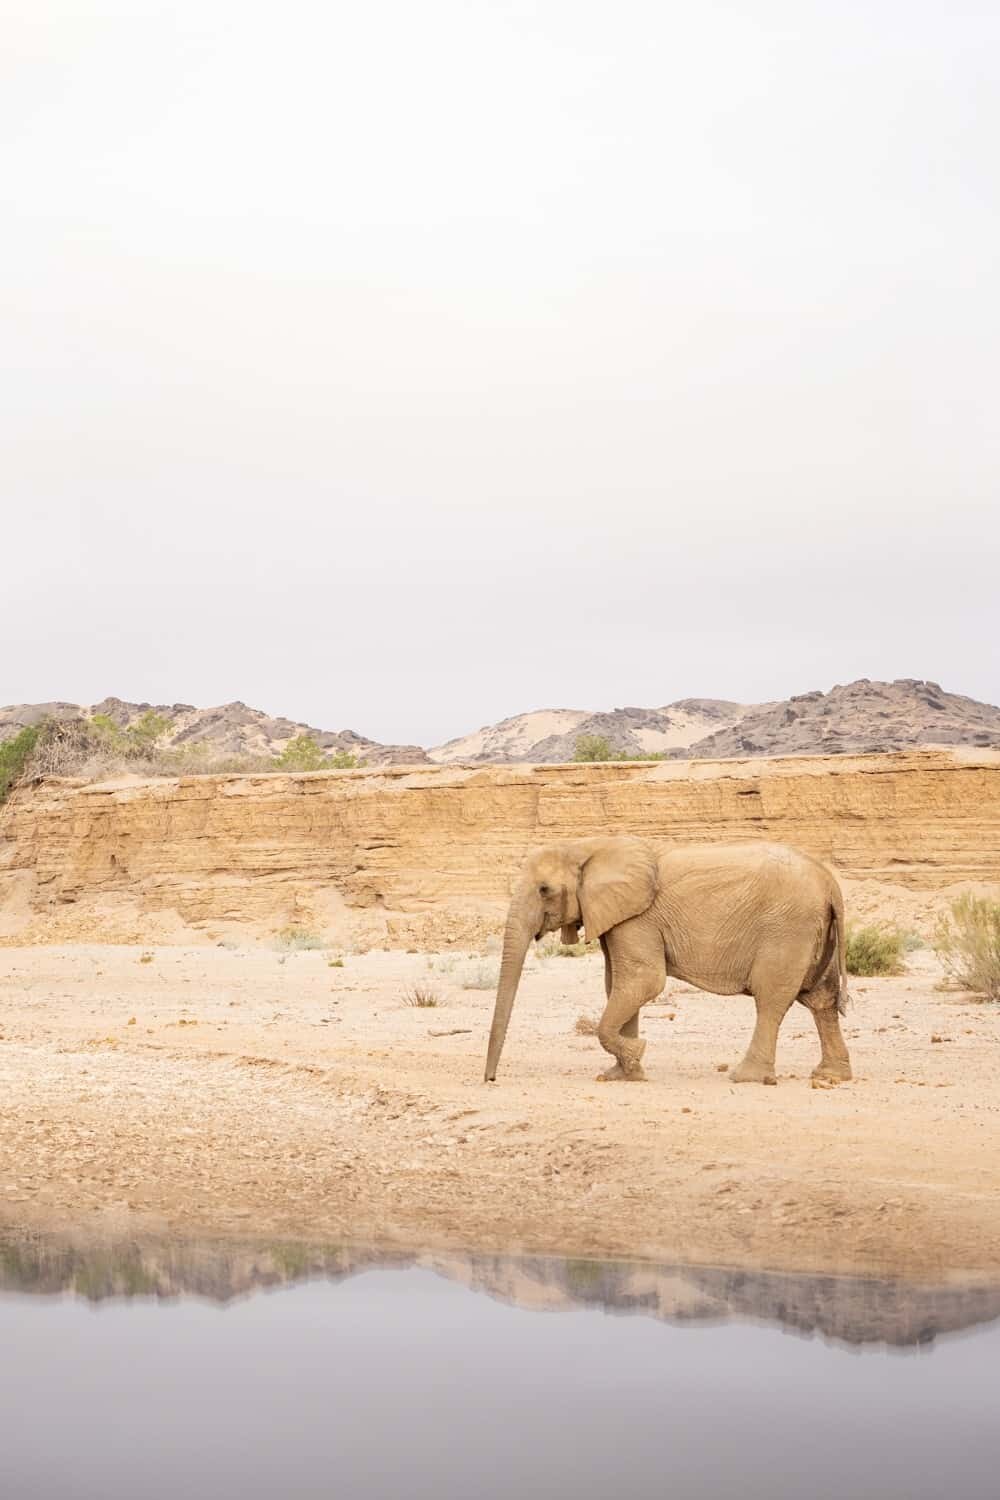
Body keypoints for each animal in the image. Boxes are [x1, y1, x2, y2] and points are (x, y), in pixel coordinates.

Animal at [485, 834, 851, 1092]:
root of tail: (830, 882)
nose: (490, 1080)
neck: (587, 845)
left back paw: (744, 1077)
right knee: (821, 1000)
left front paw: (636, 1054)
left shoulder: (638, 918)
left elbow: (643, 981)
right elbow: (618, 984)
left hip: (787, 929)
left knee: (771, 999)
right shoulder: (620, 918)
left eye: (544, 890)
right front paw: (624, 1073)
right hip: (815, 934)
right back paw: (832, 1075)